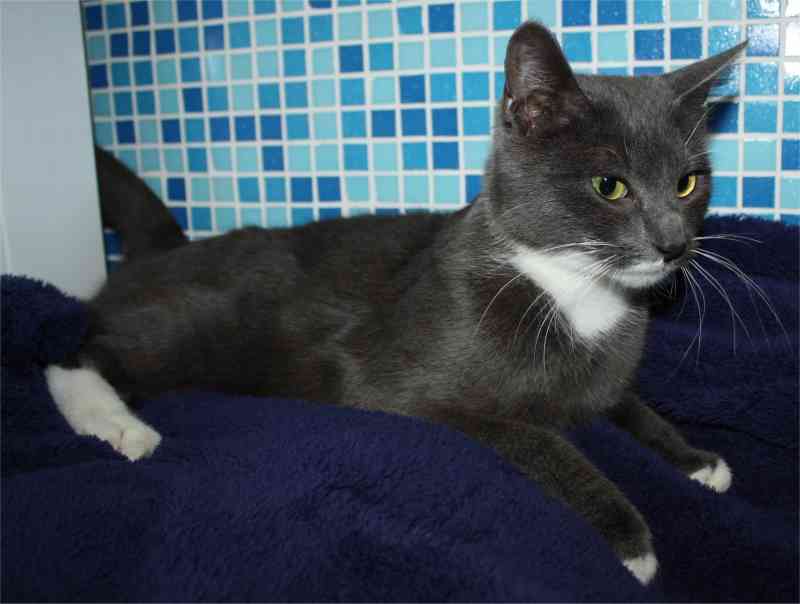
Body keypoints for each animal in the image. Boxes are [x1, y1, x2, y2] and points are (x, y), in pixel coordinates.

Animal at [46, 22, 746, 585]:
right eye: (610, 185)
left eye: (688, 183)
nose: (674, 244)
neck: (574, 287)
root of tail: (166, 250)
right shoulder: (407, 392)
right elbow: (534, 438)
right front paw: (629, 538)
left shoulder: (605, 374)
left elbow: (624, 403)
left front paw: (695, 458)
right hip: (200, 324)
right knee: (77, 352)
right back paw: (115, 424)